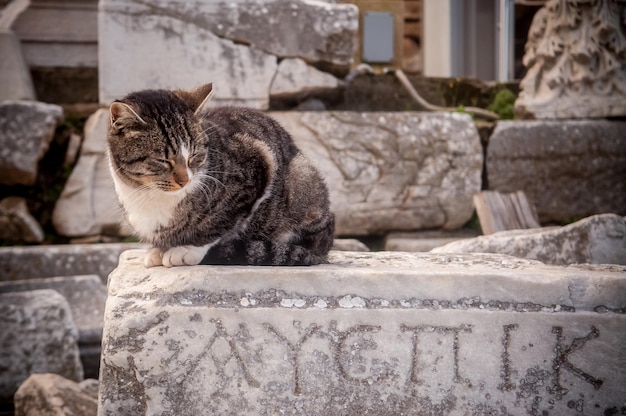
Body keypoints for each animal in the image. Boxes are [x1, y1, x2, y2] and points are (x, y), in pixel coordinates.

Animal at [105, 83, 334, 266]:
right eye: (162, 160)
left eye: (194, 155)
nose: (185, 181)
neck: (149, 194)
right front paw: (158, 249)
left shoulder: (258, 165)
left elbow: (218, 223)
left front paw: (187, 250)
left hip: (302, 179)